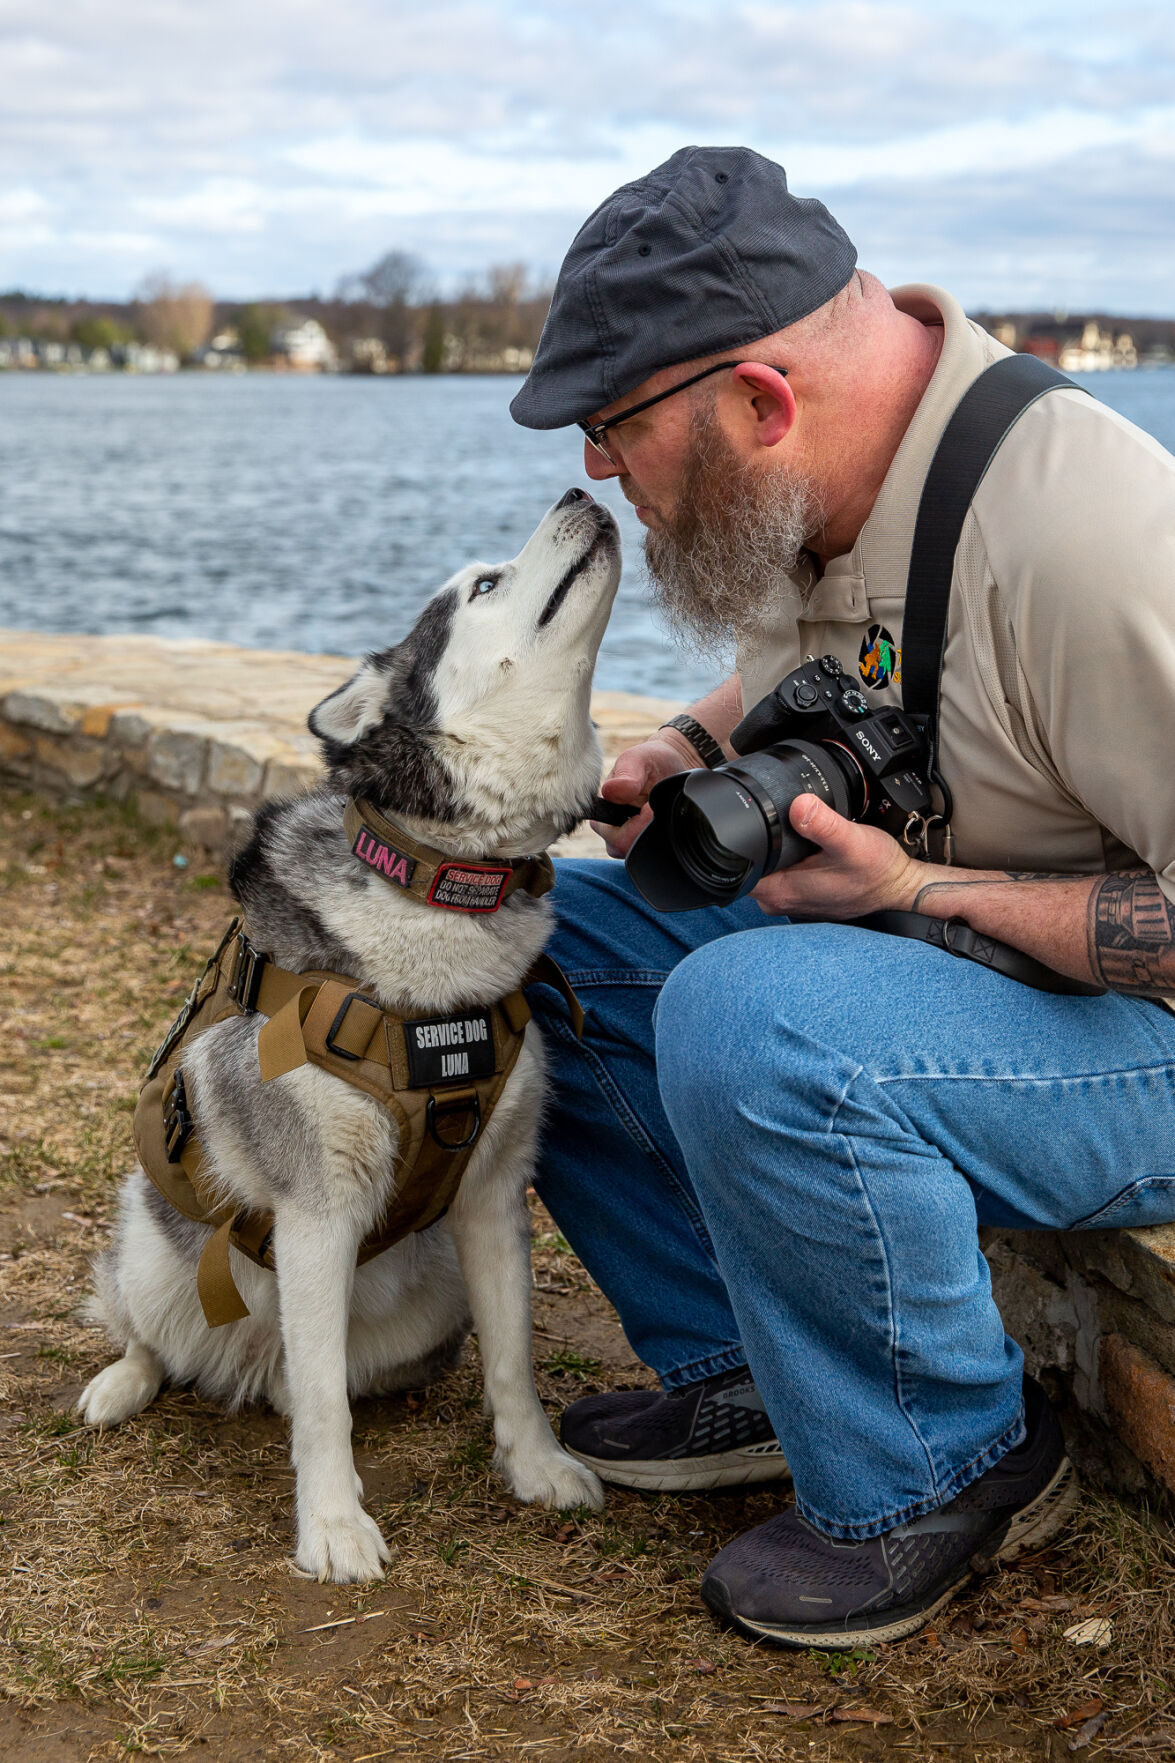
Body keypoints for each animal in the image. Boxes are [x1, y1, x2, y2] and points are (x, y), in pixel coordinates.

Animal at [77, 486, 617, 1586]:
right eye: (483, 584)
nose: (583, 492)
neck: (440, 887)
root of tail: (239, 1361)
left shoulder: (494, 1191)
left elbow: (511, 1358)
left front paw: (535, 1464)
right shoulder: (316, 1211)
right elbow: (323, 1403)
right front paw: (330, 1525)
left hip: (430, 1294)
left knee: (305, 1374)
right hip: (151, 1241)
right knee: (153, 1329)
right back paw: (122, 1383)